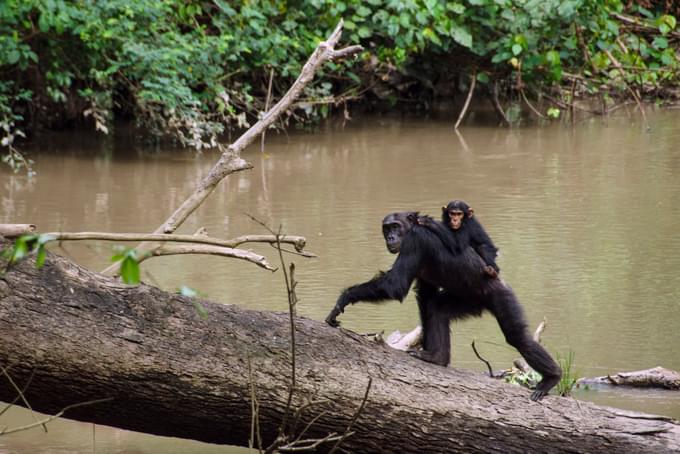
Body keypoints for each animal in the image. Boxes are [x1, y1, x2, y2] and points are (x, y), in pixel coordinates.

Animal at [326, 213, 564, 400]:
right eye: (386, 228)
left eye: (395, 226)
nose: (390, 236)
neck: (412, 228)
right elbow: (426, 297)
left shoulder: (416, 240)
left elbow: (396, 284)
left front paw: (344, 298)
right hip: (469, 302)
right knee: (438, 309)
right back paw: (437, 357)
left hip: (501, 296)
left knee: (518, 337)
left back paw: (551, 377)